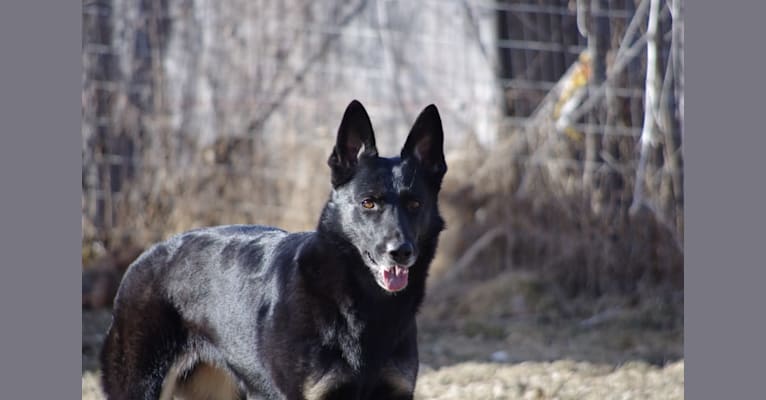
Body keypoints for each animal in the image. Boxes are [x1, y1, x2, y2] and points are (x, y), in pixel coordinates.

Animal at [102, 101, 450, 400]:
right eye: (368, 203)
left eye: (415, 204)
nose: (400, 252)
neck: (363, 303)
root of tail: (147, 255)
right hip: (141, 385)